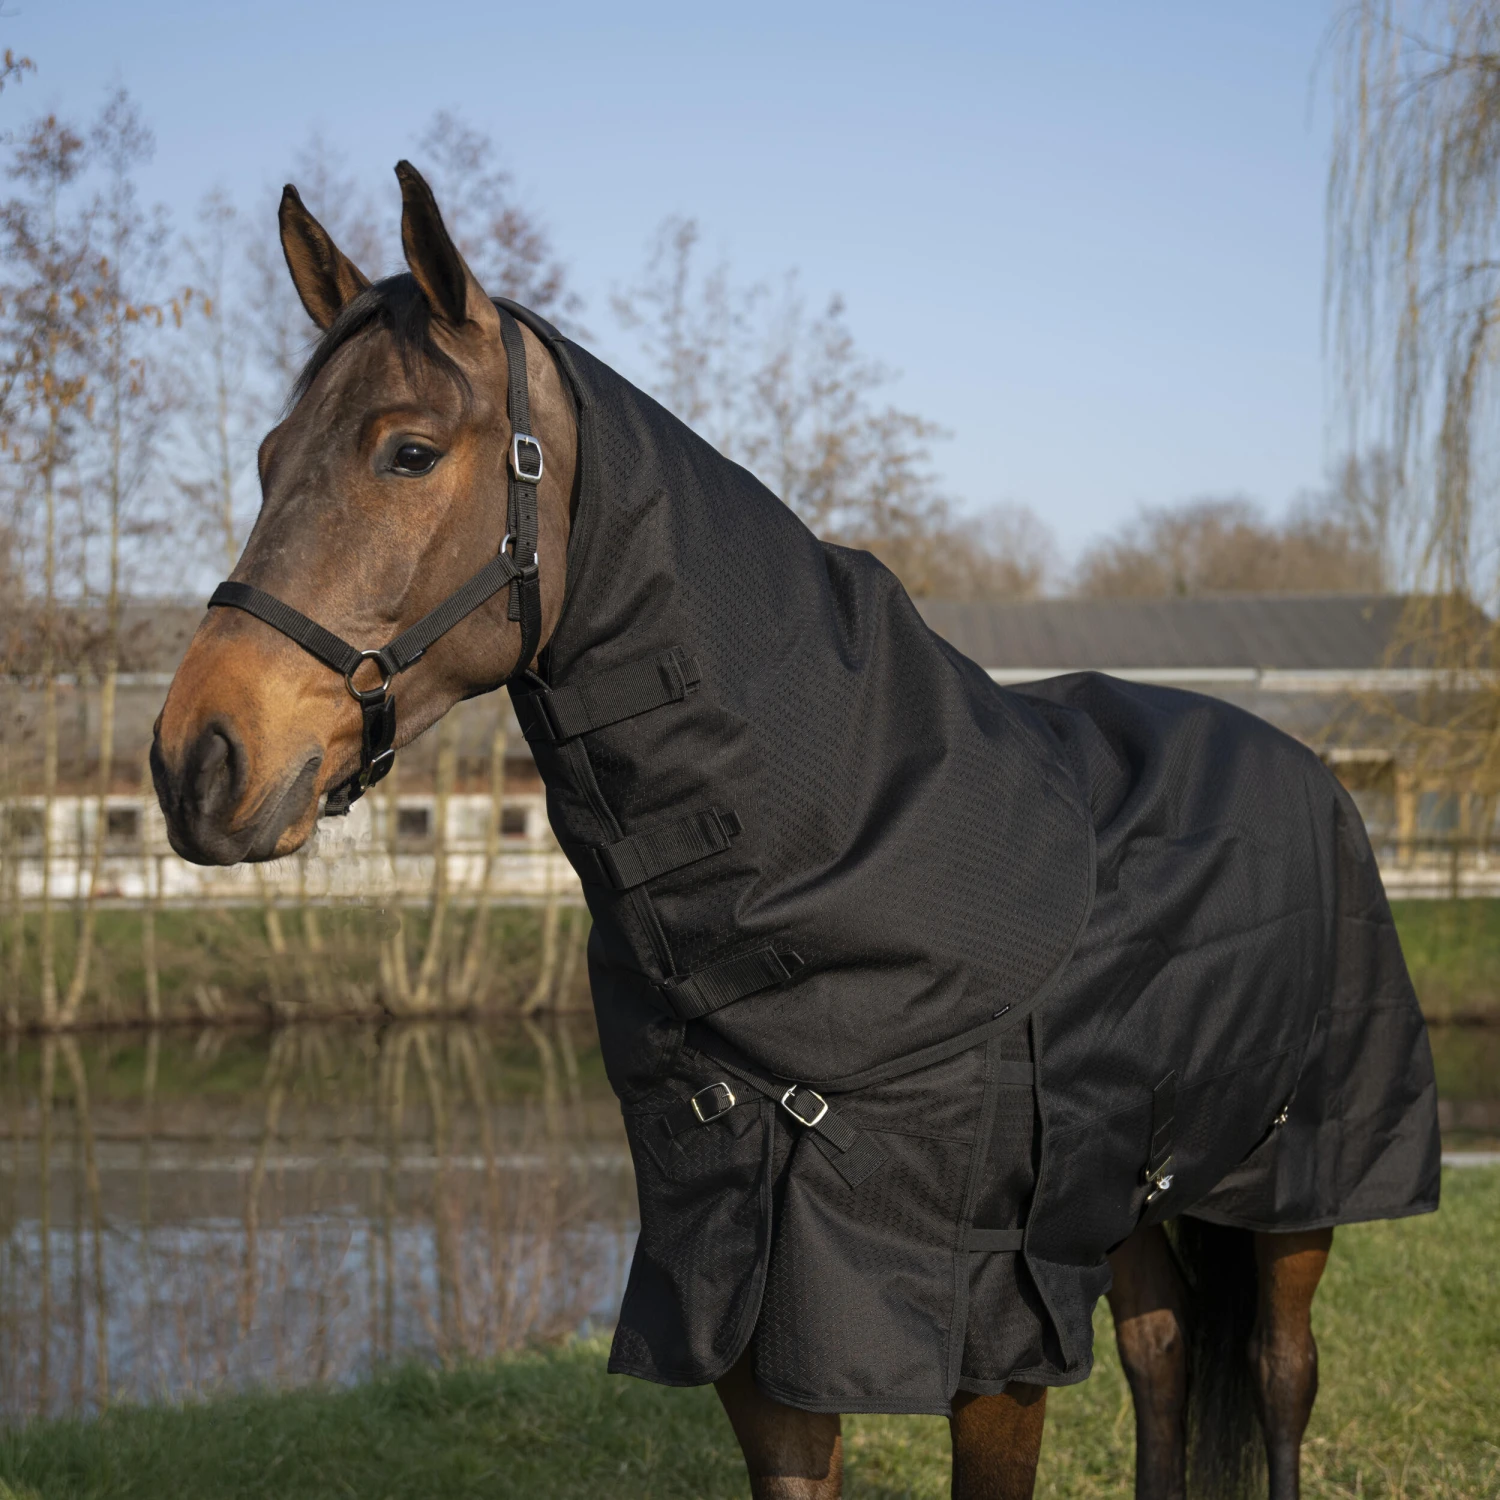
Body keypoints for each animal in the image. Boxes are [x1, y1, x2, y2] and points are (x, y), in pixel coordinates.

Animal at [152, 162, 1437, 1500]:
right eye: (268, 457)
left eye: (407, 452)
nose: (197, 758)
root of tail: (1311, 772)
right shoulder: (742, 1298)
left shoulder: (992, 1322)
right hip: (1121, 1188)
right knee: (1166, 1357)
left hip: (1293, 1186)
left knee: (1280, 1376)